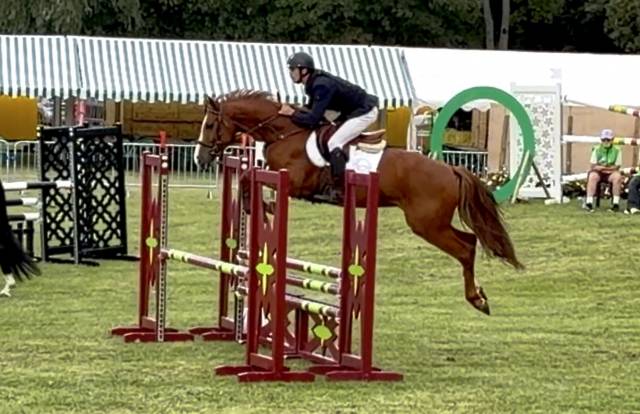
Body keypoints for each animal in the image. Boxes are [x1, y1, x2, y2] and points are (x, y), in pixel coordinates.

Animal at [194, 90, 524, 315]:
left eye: (209, 126)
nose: (200, 158)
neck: (285, 133)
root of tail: (451, 169)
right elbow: (249, 178)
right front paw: (261, 208)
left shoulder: (294, 182)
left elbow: (250, 177)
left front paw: (257, 208)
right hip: (434, 223)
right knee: (470, 241)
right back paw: (479, 296)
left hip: (427, 224)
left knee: (466, 249)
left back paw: (477, 300)